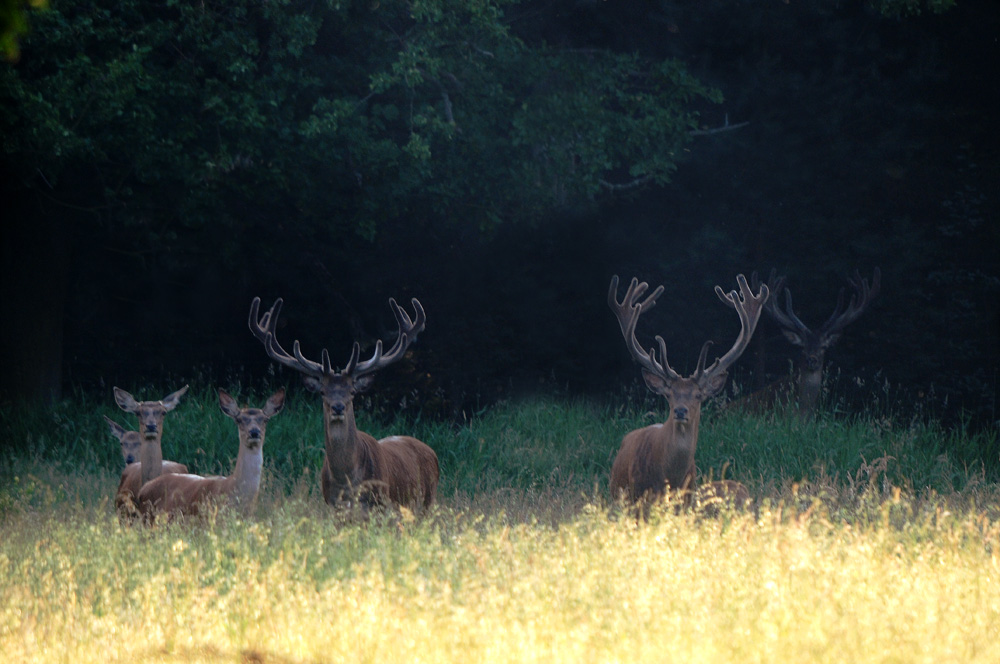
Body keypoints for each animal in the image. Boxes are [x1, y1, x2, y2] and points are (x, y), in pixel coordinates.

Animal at [249, 296, 438, 512]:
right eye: (322, 391)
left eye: (352, 391)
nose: (338, 407)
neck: (347, 483)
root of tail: (432, 452)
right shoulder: (332, 505)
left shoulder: (379, 503)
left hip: (426, 501)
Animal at [608, 274, 764, 508]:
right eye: (668, 395)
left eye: (699, 396)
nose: (680, 411)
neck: (669, 478)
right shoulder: (638, 496)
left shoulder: (688, 497)